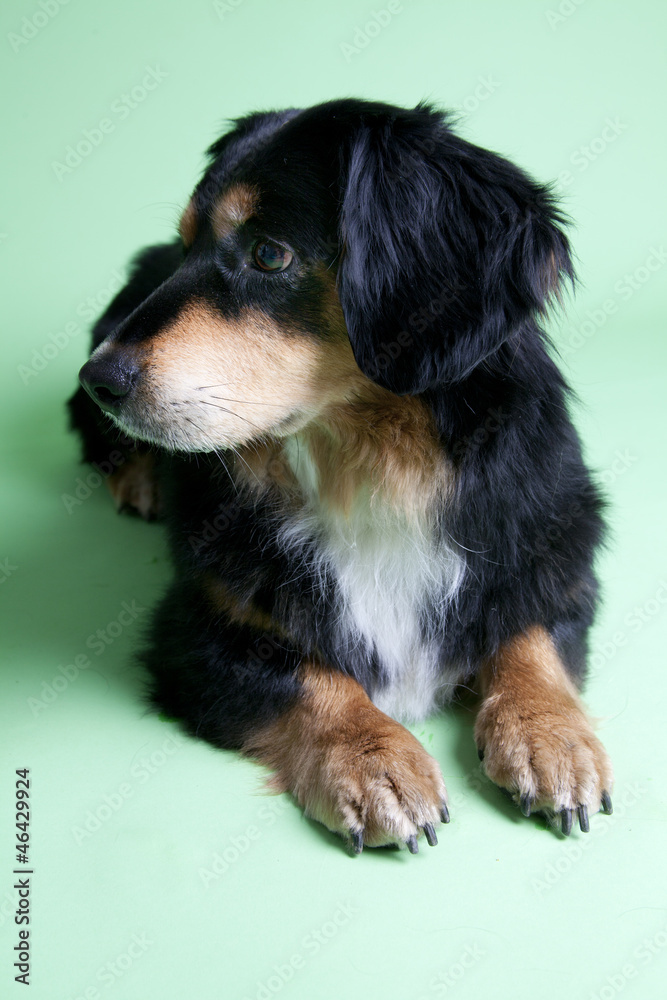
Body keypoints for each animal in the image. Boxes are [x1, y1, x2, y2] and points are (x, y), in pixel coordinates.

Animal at [69, 99, 616, 852]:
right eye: (187, 248)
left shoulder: (554, 551)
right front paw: (373, 759)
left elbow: (531, 634)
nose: (99, 378)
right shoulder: (198, 628)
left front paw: (551, 735)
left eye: (269, 254)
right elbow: (307, 674)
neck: (370, 471)